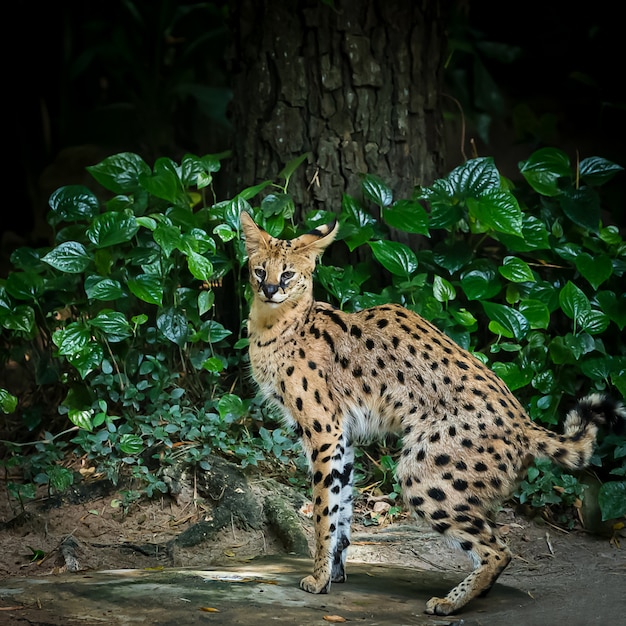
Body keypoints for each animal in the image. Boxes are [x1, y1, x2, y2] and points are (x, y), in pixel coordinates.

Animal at [238, 211, 620, 616]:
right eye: (260, 271)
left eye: (287, 275)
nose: (269, 289)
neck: (274, 322)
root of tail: (525, 425)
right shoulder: (342, 438)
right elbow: (342, 507)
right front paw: (335, 573)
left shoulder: (324, 431)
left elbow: (324, 510)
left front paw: (319, 578)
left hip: (420, 474)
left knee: (500, 550)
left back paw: (450, 602)